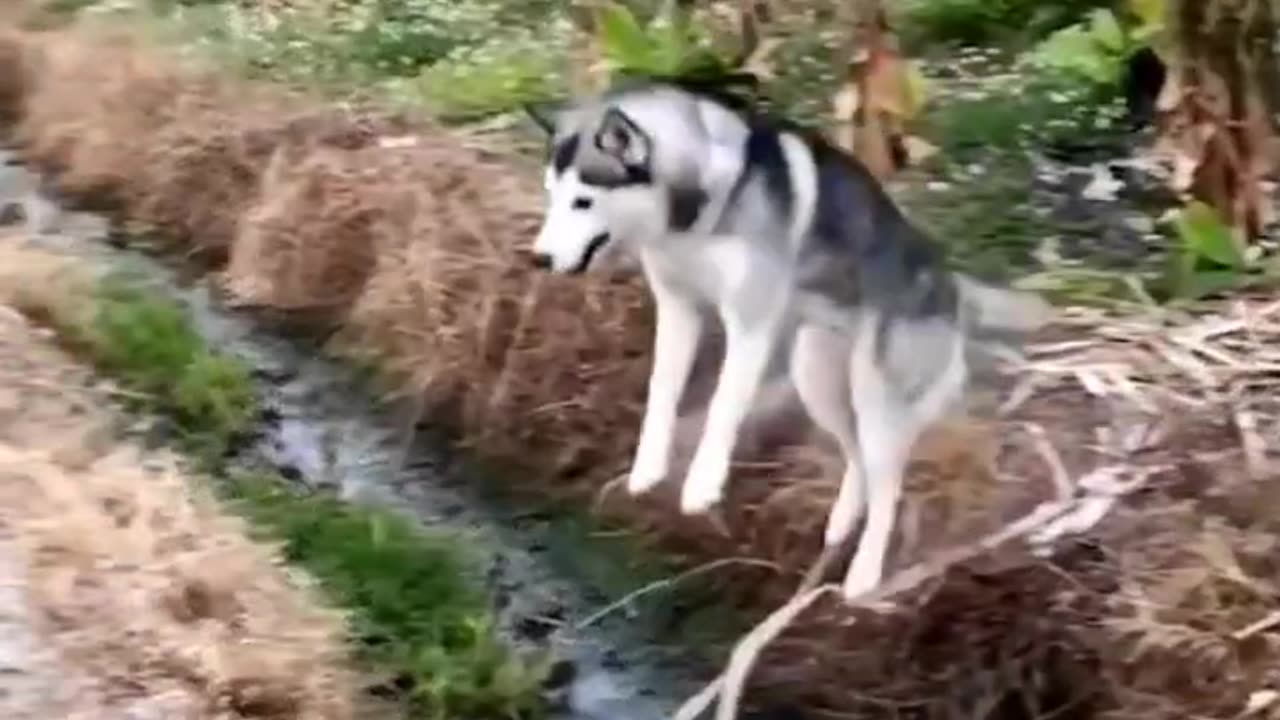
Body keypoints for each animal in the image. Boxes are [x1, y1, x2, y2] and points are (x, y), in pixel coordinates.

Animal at [522, 78, 1049, 597]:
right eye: (550, 196)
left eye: (583, 201)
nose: (538, 259)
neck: (696, 207)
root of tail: (951, 284)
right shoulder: (678, 310)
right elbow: (660, 393)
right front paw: (647, 468)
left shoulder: (750, 321)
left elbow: (723, 406)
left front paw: (702, 485)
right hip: (817, 374)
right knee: (857, 457)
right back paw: (842, 522)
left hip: (875, 394)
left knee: (889, 485)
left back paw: (865, 572)